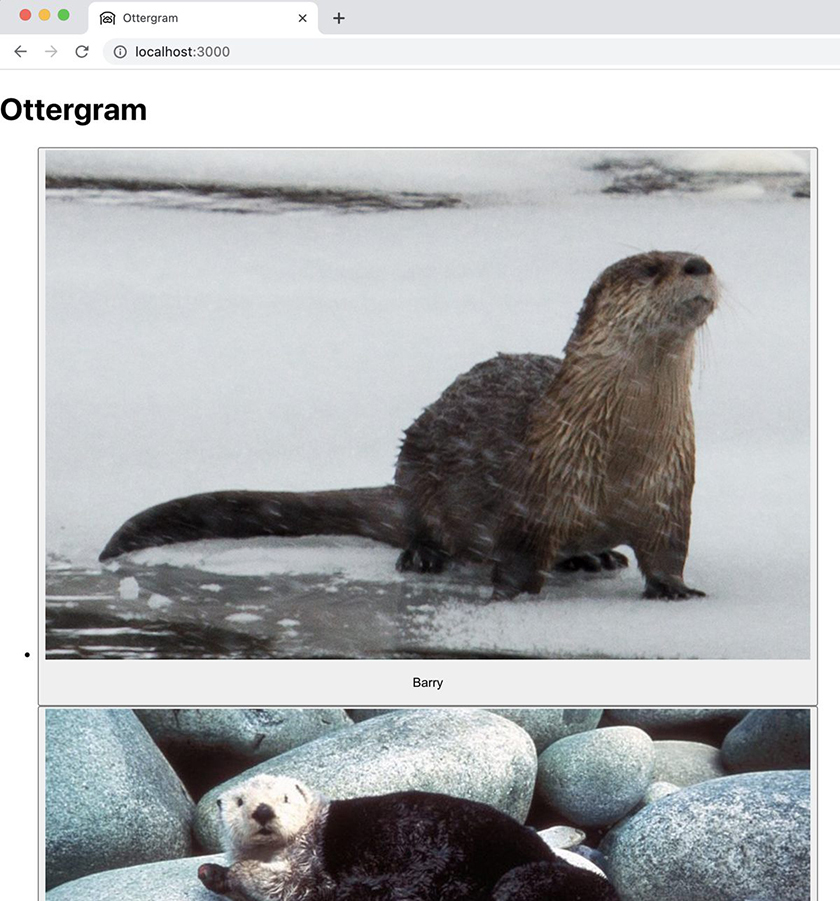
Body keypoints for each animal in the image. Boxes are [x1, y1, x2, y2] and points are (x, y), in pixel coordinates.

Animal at [100, 250, 717, 599]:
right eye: (651, 268)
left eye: (697, 256)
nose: (699, 266)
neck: (623, 454)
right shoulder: (533, 494)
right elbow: (518, 557)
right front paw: (513, 595)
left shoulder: (671, 489)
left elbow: (669, 551)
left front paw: (675, 591)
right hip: (418, 461)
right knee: (423, 522)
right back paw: (423, 556)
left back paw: (594, 556)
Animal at [197, 775, 618, 901]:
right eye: (239, 801)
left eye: (284, 798)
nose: (263, 811)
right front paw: (211, 872)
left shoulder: (311, 869)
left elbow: (287, 884)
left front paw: (230, 873)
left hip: (529, 876)